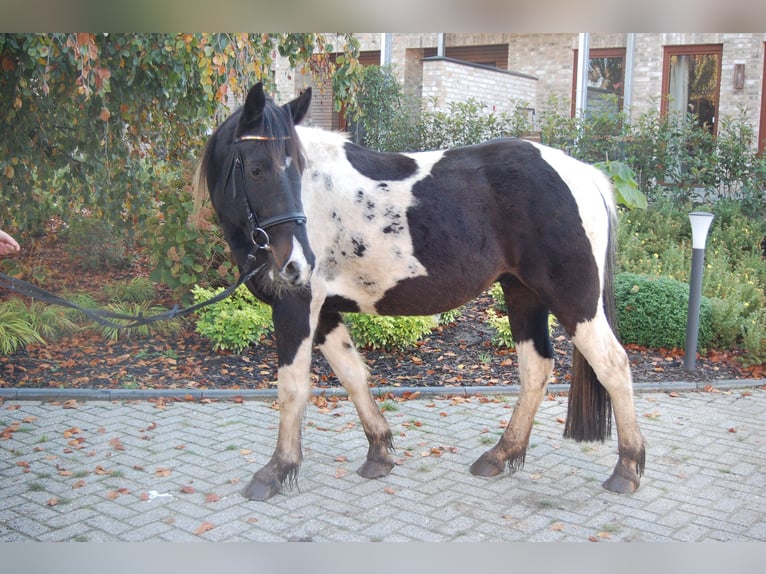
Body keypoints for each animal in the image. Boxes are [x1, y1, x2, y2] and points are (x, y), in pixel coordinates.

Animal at [194, 83, 648, 502]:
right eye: (257, 169)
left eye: (298, 168)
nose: (296, 263)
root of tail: (585, 174)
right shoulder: (324, 313)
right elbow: (352, 375)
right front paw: (379, 451)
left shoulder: (298, 305)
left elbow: (292, 387)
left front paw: (276, 470)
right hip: (523, 294)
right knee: (536, 369)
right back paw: (501, 454)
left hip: (574, 300)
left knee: (613, 364)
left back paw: (627, 468)